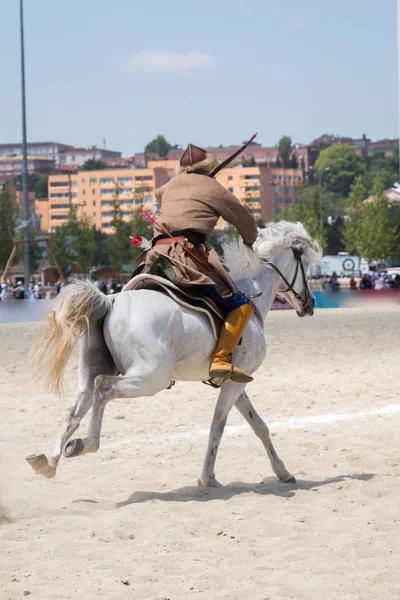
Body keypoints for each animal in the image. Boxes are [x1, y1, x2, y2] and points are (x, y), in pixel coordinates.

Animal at [26, 220, 322, 488]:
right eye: (305, 266)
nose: (310, 303)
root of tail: (110, 301)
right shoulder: (235, 384)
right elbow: (218, 426)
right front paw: (207, 477)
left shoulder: (235, 380)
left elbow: (258, 425)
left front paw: (282, 472)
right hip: (149, 378)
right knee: (103, 389)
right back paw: (88, 443)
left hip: (92, 375)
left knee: (75, 410)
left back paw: (50, 462)